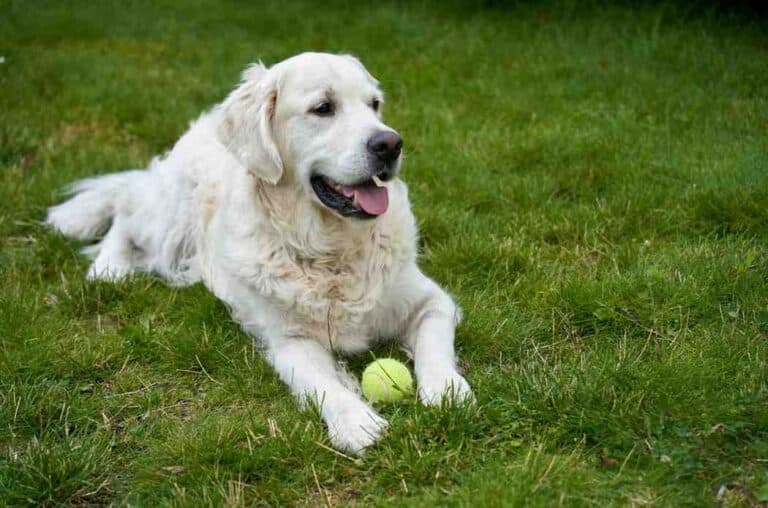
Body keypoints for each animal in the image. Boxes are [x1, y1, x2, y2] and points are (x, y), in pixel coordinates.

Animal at [46, 53, 474, 454]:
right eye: (323, 108)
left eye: (375, 104)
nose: (390, 144)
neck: (332, 249)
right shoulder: (289, 341)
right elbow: (322, 383)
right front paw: (356, 421)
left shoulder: (432, 301)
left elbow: (434, 349)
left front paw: (448, 391)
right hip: (169, 220)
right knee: (124, 211)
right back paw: (108, 270)